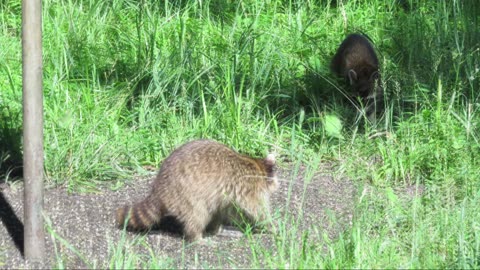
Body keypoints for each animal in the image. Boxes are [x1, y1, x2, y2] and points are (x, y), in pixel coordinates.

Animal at [115, 139, 278, 243]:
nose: (278, 184)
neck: (258, 167)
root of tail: (159, 189)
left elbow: (231, 210)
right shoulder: (249, 188)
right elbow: (257, 209)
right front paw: (271, 226)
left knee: (216, 211)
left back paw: (218, 230)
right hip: (187, 194)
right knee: (198, 214)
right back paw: (197, 237)